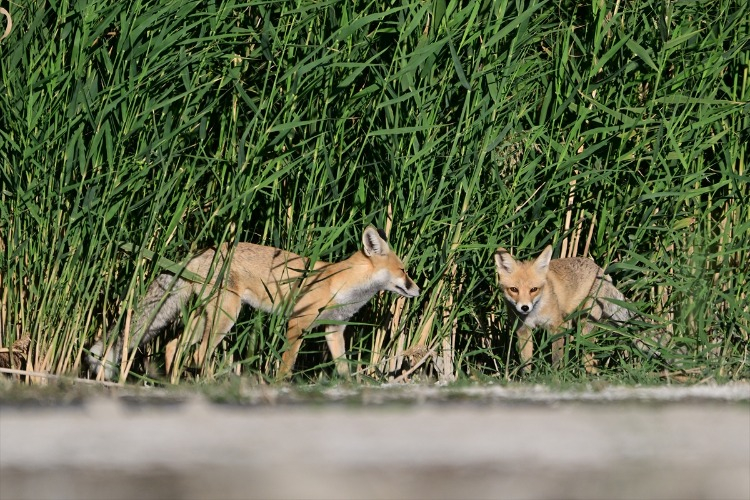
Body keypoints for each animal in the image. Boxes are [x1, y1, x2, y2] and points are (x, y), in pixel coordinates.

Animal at [89, 225, 424, 380]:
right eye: (404, 271)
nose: (419, 290)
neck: (340, 285)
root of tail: (202, 251)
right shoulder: (297, 323)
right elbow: (286, 366)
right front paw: (279, 387)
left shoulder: (333, 330)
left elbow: (342, 367)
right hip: (226, 317)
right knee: (197, 354)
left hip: (205, 318)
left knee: (174, 347)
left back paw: (175, 385)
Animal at [496, 244, 636, 374]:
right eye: (514, 289)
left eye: (533, 289)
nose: (525, 307)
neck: (534, 314)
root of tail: (600, 270)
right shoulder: (523, 330)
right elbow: (526, 364)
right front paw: (527, 378)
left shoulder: (557, 326)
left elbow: (556, 358)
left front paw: (555, 376)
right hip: (570, 321)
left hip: (585, 324)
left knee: (587, 357)